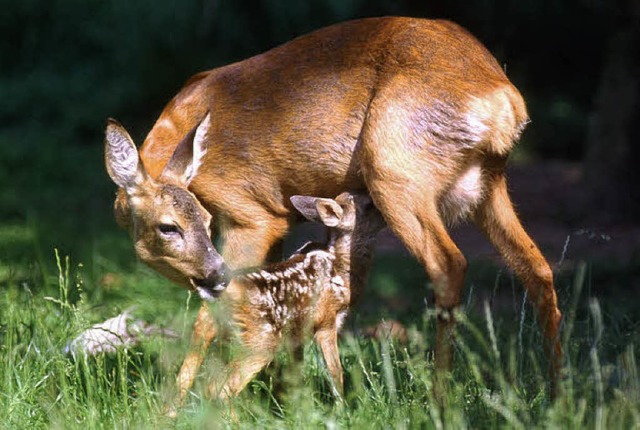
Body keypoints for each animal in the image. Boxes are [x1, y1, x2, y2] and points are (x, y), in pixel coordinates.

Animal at [104, 17, 560, 400]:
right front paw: (280, 391)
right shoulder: (277, 224)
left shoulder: (253, 214)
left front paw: (174, 404)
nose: (212, 274)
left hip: (394, 171)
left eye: (203, 218)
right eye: (170, 227)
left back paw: (438, 399)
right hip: (488, 185)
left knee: (449, 263)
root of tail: (502, 98)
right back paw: (554, 395)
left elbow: (207, 317)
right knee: (538, 269)